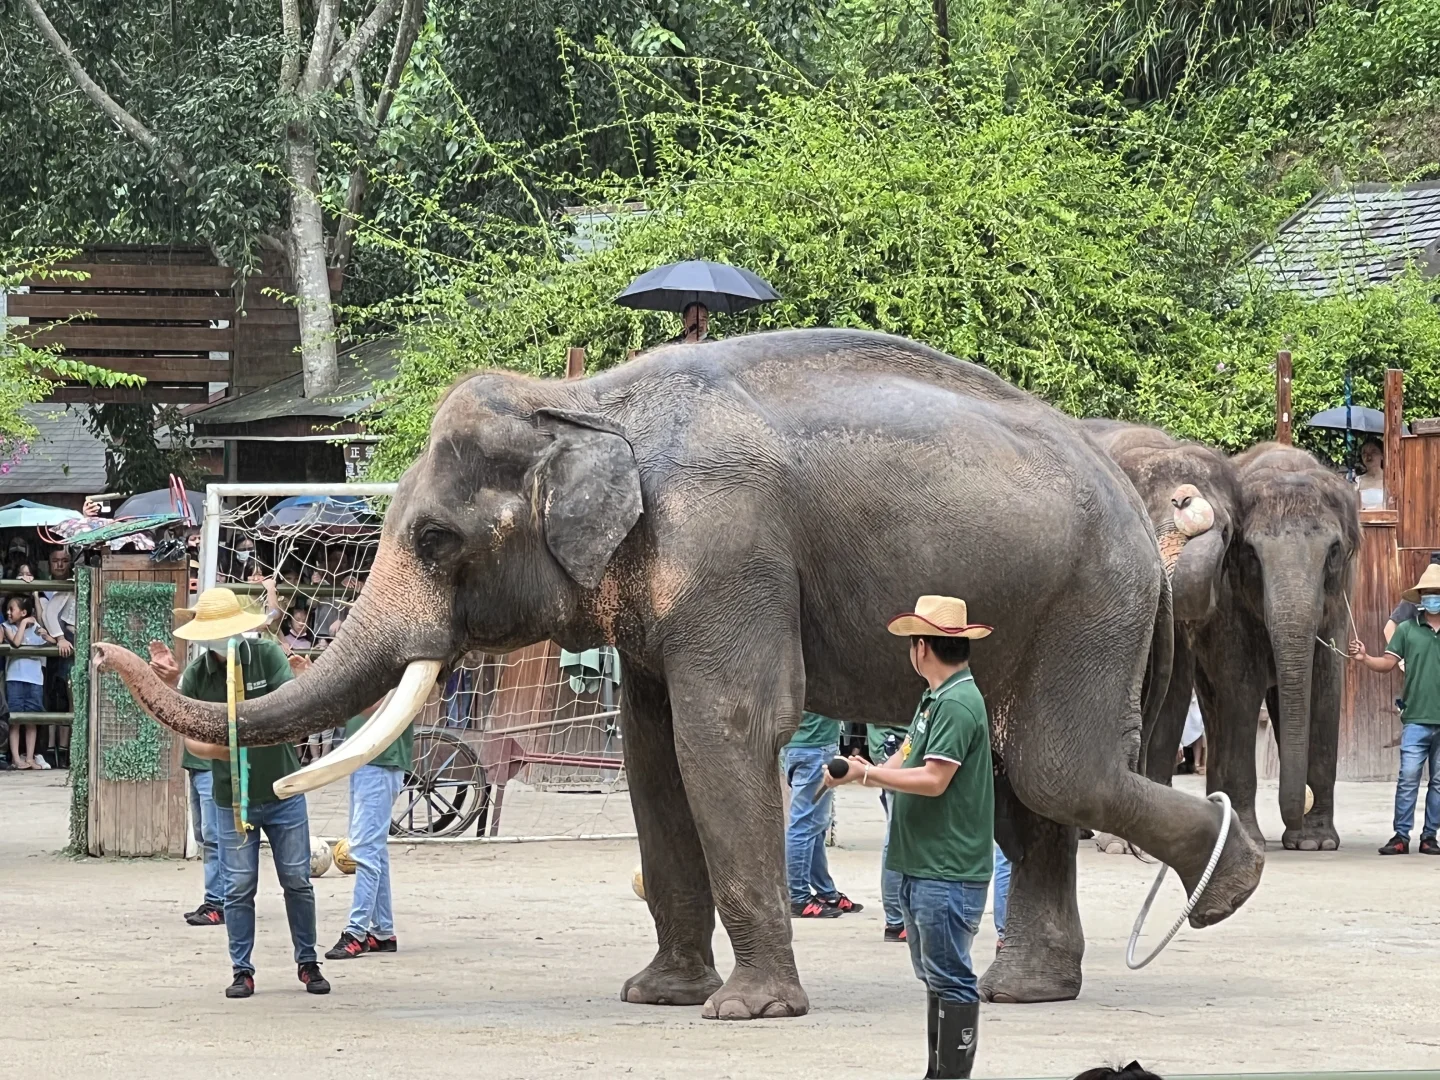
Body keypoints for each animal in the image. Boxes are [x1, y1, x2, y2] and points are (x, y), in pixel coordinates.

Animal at [94, 328, 1264, 1013]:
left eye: (432, 539)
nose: (111, 648)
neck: (589, 405)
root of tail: (1131, 490)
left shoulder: (727, 546)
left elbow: (723, 735)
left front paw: (746, 1012)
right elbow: (655, 759)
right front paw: (654, 994)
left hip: (1092, 596)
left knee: (1057, 769)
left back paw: (1229, 884)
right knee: (1032, 777)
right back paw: (1029, 990)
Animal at [1187, 442, 1360, 850]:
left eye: (1333, 551)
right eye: (1251, 552)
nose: (1301, 807)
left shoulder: (1339, 598)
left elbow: (1325, 686)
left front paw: (1316, 843)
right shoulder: (1228, 601)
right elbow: (1240, 687)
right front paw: (1251, 840)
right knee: (1216, 707)